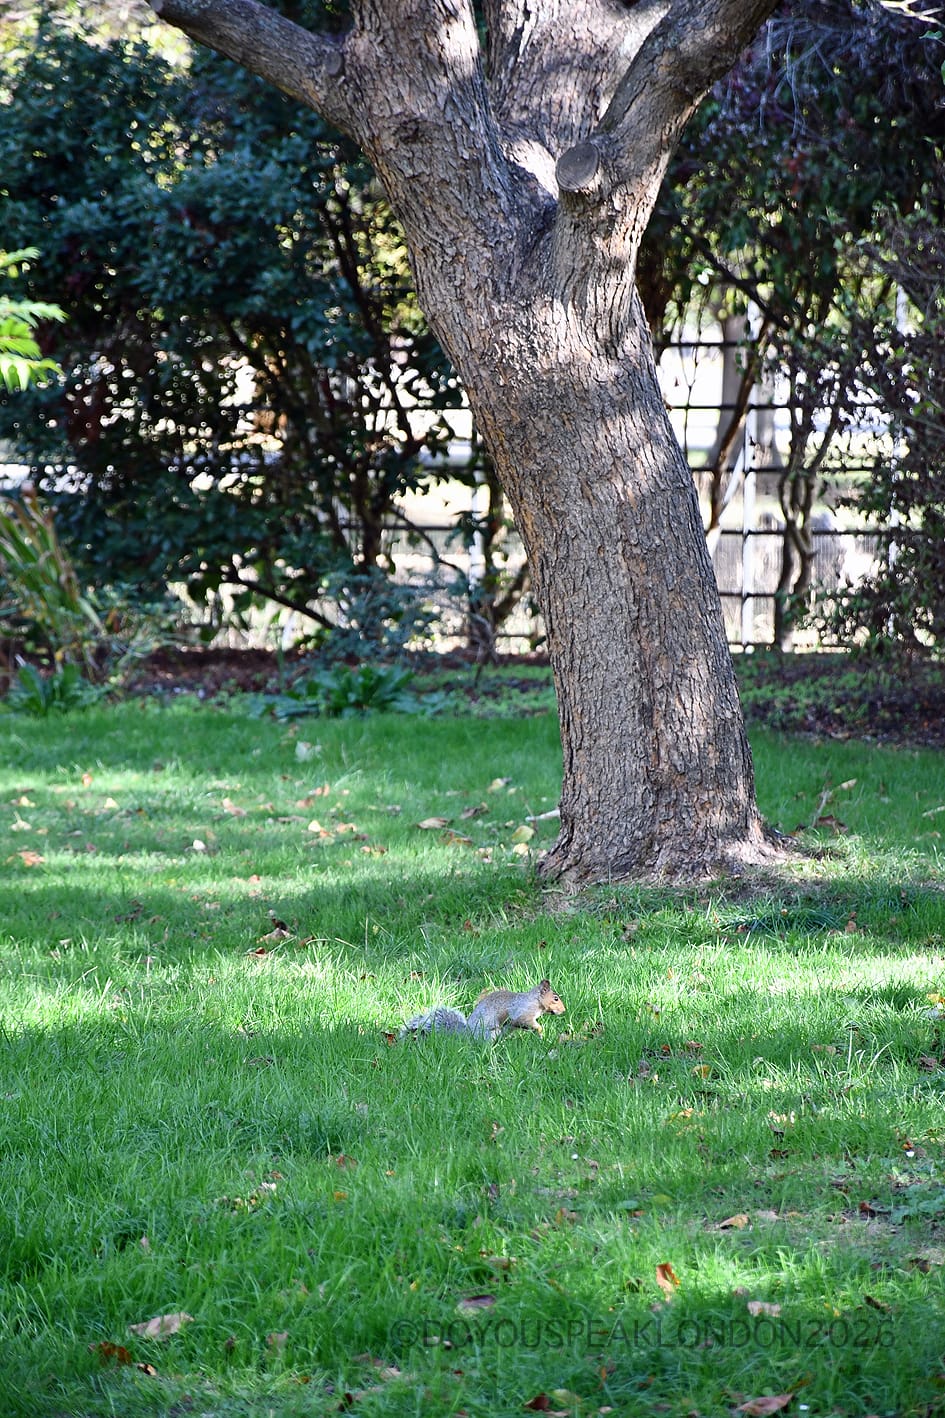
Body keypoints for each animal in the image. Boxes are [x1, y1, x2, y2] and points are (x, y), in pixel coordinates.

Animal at [400, 979, 565, 1042]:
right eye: (555, 998)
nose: (564, 1010)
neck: (535, 1001)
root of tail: (468, 1034)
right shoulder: (522, 1011)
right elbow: (524, 1020)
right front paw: (540, 1029)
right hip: (490, 1033)